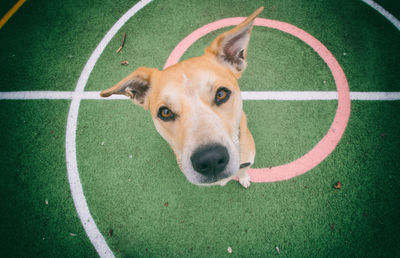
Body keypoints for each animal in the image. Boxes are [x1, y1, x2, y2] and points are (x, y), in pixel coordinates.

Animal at [100, 6, 262, 187]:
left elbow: (243, 170)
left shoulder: (247, 160)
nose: (211, 160)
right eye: (165, 112)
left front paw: (244, 178)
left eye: (221, 94)